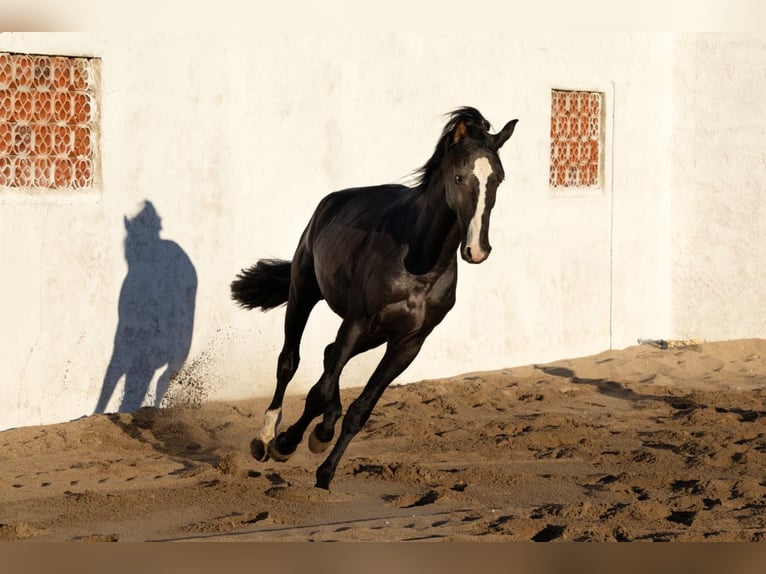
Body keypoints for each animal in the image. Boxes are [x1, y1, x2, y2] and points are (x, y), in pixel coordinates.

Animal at [231, 107, 518, 489]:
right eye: (459, 176)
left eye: (497, 179)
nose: (476, 249)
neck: (418, 262)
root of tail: (329, 202)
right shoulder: (357, 321)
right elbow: (318, 391)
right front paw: (287, 442)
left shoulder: (408, 343)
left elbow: (360, 408)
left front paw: (325, 469)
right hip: (303, 293)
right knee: (290, 361)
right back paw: (266, 437)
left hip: (375, 334)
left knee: (327, 356)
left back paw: (319, 431)